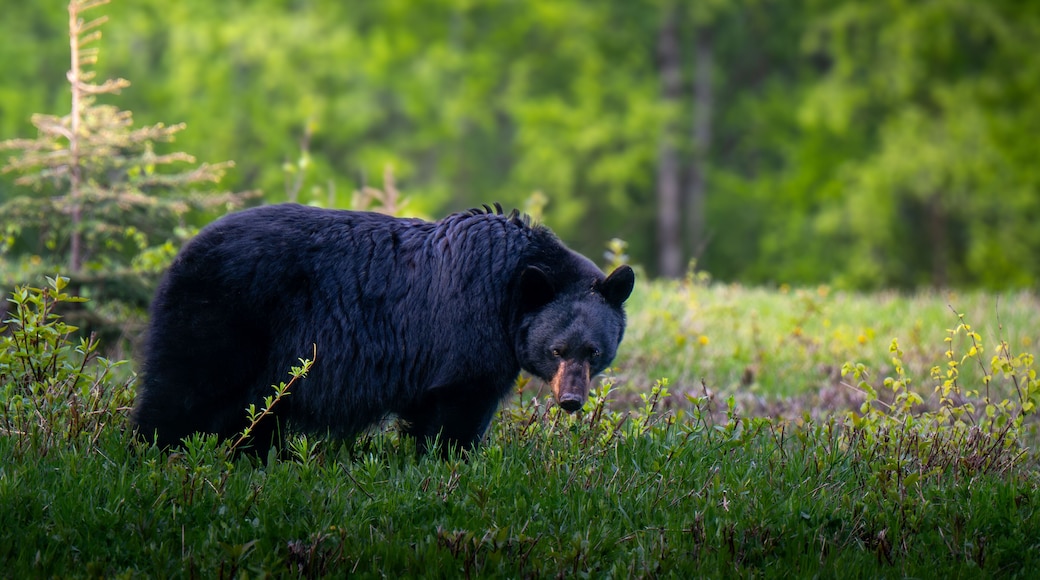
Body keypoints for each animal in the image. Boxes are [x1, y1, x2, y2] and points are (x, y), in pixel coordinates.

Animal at [131, 203, 635, 456]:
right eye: (556, 350)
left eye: (593, 351)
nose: (571, 401)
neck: (509, 288)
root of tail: (184, 249)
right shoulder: (468, 331)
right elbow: (459, 408)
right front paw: (452, 461)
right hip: (223, 316)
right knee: (183, 391)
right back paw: (151, 455)